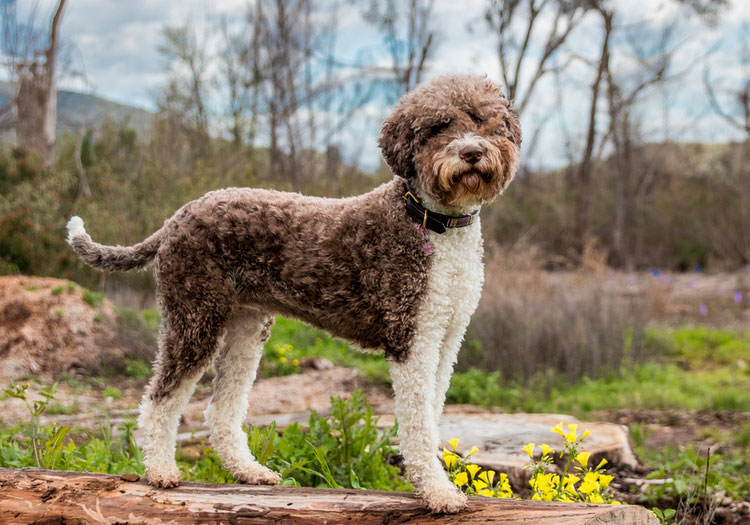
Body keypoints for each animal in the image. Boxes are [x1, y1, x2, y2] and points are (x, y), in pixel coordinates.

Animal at [66, 73, 524, 512]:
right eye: (438, 126)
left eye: (484, 120)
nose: (472, 153)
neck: (431, 222)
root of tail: (174, 219)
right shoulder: (412, 339)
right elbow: (418, 424)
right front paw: (438, 493)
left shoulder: (446, 338)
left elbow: (431, 414)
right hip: (194, 319)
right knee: (160, 399)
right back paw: (160, 471)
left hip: (246, 327)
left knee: (221, 408)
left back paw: (249, 472)